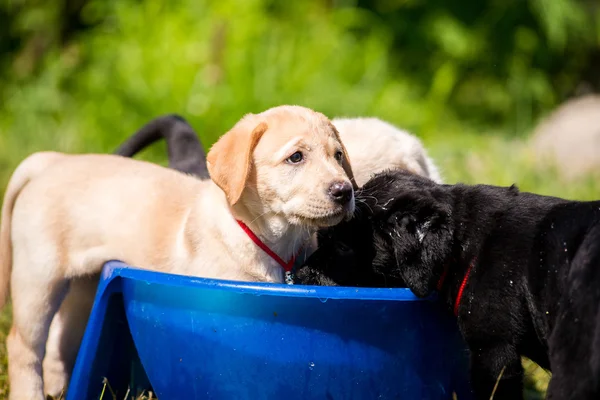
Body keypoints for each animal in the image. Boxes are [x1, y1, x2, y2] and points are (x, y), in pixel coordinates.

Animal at [0, 104, 356, 398]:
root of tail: (56, 160)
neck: (272, 241)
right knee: (23, 346)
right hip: (39, 277)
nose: (345, 191)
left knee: (59, 344)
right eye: (296, 157)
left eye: (338, 156)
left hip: (82, 289)